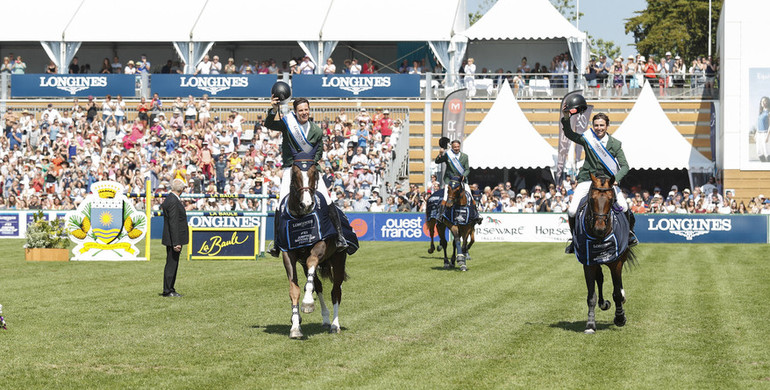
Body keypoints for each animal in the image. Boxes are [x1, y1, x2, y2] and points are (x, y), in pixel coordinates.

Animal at [280, 158, 346, 338]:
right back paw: (325, 319)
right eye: (295, 175)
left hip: (338, 260)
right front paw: (295, 326)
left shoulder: (320, 247)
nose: (307, 204)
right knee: (319, 286)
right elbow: (294, 289)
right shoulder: (288, 255)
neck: (300, 217)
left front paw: (308, 302)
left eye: (314, 174)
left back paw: (335, 325)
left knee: (335, 291)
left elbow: (312, 263)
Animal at [576, 174, 636, 336]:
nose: (599, 229)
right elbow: (591, 296)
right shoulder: (588, 263)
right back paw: (603, 303)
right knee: (600, 278)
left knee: (617, 285)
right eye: (591, 199)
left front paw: (620, 318)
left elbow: (617, 292)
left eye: (611, 199)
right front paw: (590, 324)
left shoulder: (616, 263)